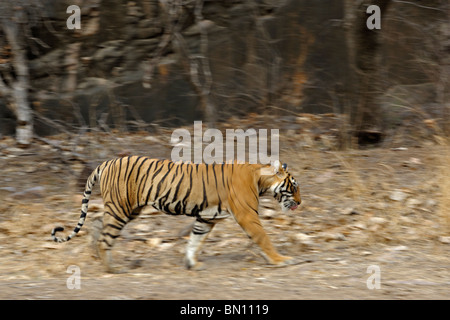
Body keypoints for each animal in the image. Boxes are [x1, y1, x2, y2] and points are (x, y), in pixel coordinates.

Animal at [51, 156, 300, 272]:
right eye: (294, 186)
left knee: (96, 221)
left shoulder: (206, 217)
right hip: (121, 208)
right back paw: (112, 268)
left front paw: (192, 263)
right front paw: (281, 260)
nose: (300, 202)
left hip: (126, 209)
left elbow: (195, 240)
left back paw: (95, 252)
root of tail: (106, 161)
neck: (260, 179)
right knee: (105, 238)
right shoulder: (247, 214)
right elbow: (263, 238)